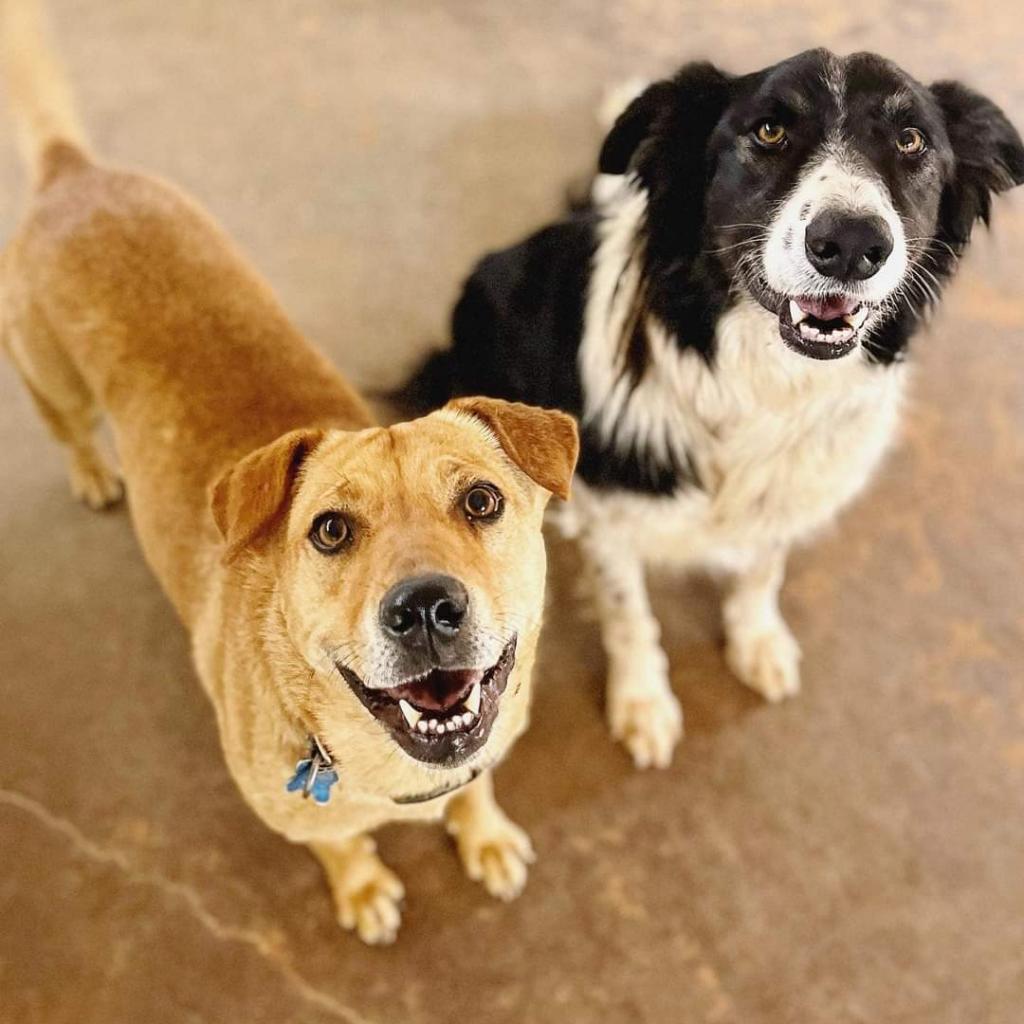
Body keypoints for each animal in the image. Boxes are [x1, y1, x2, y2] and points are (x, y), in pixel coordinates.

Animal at [0, 2, 577, 942]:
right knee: (70, 429)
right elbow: (340, 845)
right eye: (330, 530)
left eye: (482, 499)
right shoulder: (297, 814)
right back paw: (90, 471)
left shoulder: (481, 747)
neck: (395, 771)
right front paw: (363, 887)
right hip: (50, 382)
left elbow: (477, 785)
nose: (426, 608)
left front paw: (483, 834)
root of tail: (72, 174)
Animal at [407, 49, 1024, 770]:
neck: (761, 382)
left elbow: (762, 568)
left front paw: (757, 643)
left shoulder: (788, 492)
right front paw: (643, 704)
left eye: (911, 140)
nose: (850, 243)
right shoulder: (614, 520)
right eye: (768, 131)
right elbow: (629, 615)